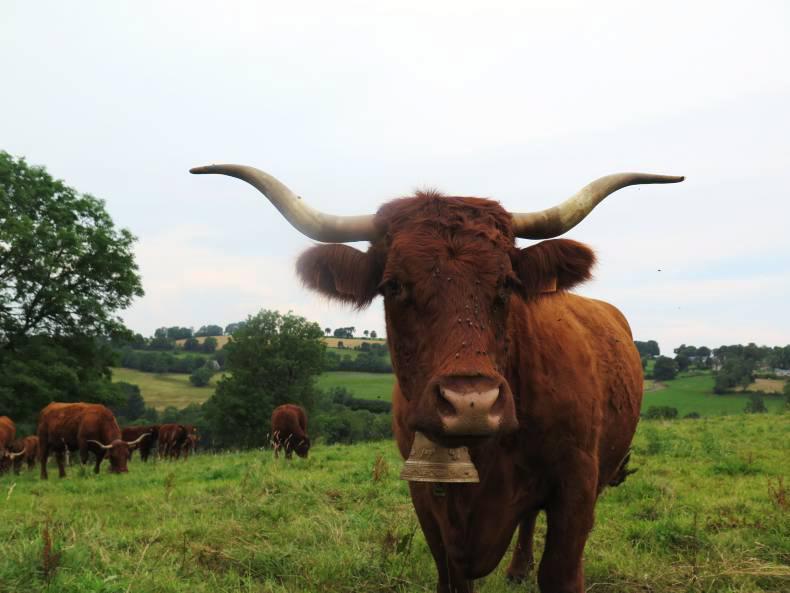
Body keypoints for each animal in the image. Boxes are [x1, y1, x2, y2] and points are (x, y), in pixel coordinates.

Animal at [191, 163, 682, 593]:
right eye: (393, 285)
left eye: (507, 283)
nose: (471, 404)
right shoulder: (428, 500)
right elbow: (452, 576)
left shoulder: (576, 485)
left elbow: (559, 572)